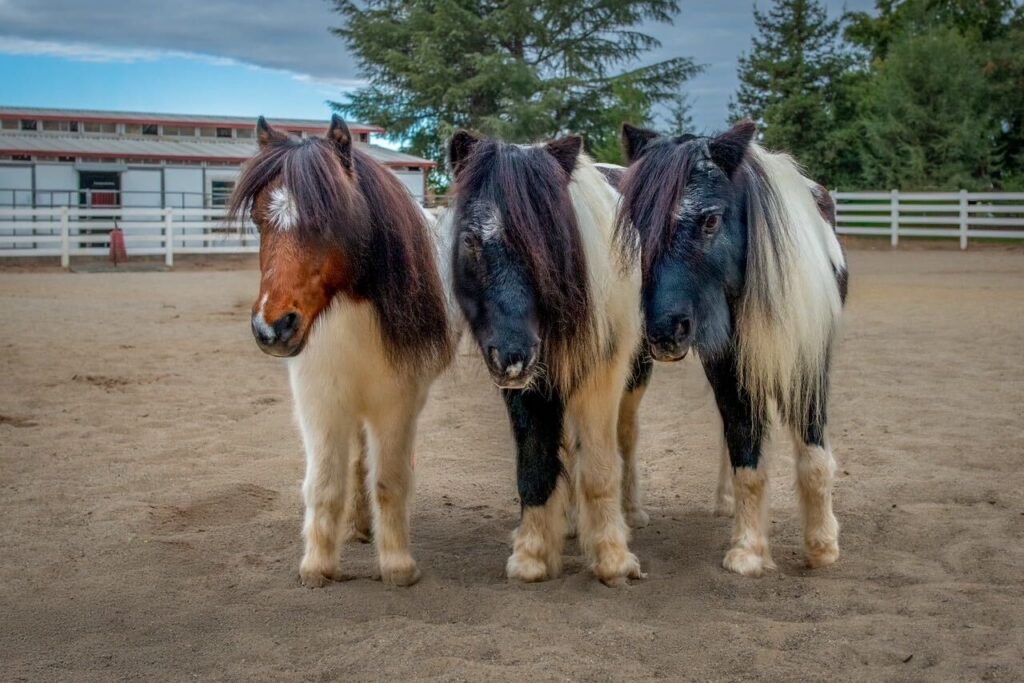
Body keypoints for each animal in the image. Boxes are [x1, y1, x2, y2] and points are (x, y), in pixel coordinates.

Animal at [228, 115, 456, 588]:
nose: (271, 327)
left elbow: (389, 481)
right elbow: (324, 484)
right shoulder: (321, 402)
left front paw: (397, 566)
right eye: (259, 220)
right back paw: (357, 526)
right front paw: (317, 565)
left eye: (325, 221)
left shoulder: (396, 403)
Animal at [444, 131, 652, 585]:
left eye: (549, 242)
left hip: (633, 379)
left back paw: (630, 514)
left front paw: (613, 558)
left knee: (625, 440)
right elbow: (537, 465)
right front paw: (533, 554)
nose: (513, 355)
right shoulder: (529, 390)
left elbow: (600, 469)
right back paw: (570, 522)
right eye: (470, 240)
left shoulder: (601, 379)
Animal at [617, 120, 848, 577]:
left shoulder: (809, 365)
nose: (664, 330)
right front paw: (749, 550)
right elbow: (746, 453)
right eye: (636, 222)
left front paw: (822, 546)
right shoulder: (728, 367)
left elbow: (813, 456)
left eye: (710, 220)